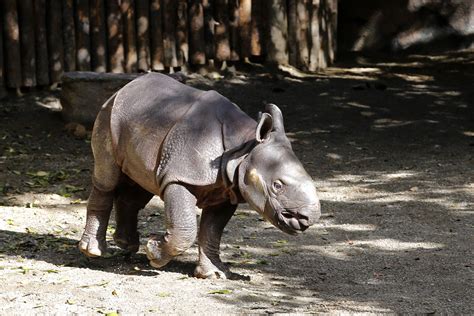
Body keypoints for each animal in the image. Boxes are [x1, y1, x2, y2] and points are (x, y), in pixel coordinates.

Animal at [79, 73, 320, 278]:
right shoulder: (180, 177)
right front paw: (154, 252)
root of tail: (125, 87)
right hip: (108, 115)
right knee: (107, 180)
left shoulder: (227, 188)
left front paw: (214, 274)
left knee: (141, 183)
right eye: (277, 185)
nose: (308, 218)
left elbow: (212, 230)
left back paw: (126, 245)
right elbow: (186, 228)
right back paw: (94, 252)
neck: (243, 147)